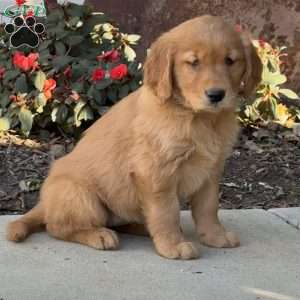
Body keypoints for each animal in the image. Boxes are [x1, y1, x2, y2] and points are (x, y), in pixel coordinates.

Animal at [5, 15, 262, 258]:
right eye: (193, 63)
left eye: (230, 61)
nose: (217, 95)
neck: (199, 118)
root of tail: (44, 203)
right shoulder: (156, 172)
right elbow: (166, 212)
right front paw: (173, 245)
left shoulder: (211, 169)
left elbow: (208, 208)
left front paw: (215, 236)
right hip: (79, 194)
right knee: (58, 227)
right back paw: (99, 235)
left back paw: (142, 227)